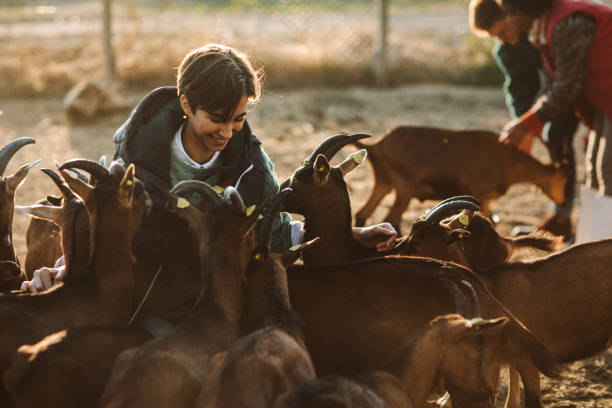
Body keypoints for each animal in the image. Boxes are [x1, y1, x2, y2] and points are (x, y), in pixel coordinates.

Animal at [352, 124, 572, 233]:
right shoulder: (480, 192)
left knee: (363, 213)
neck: (507, 161)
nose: (563, 201)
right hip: (404, 186)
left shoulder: (486, 198)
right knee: (391, 219)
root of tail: (376, 146)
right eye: (563, 180)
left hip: (383, 183)